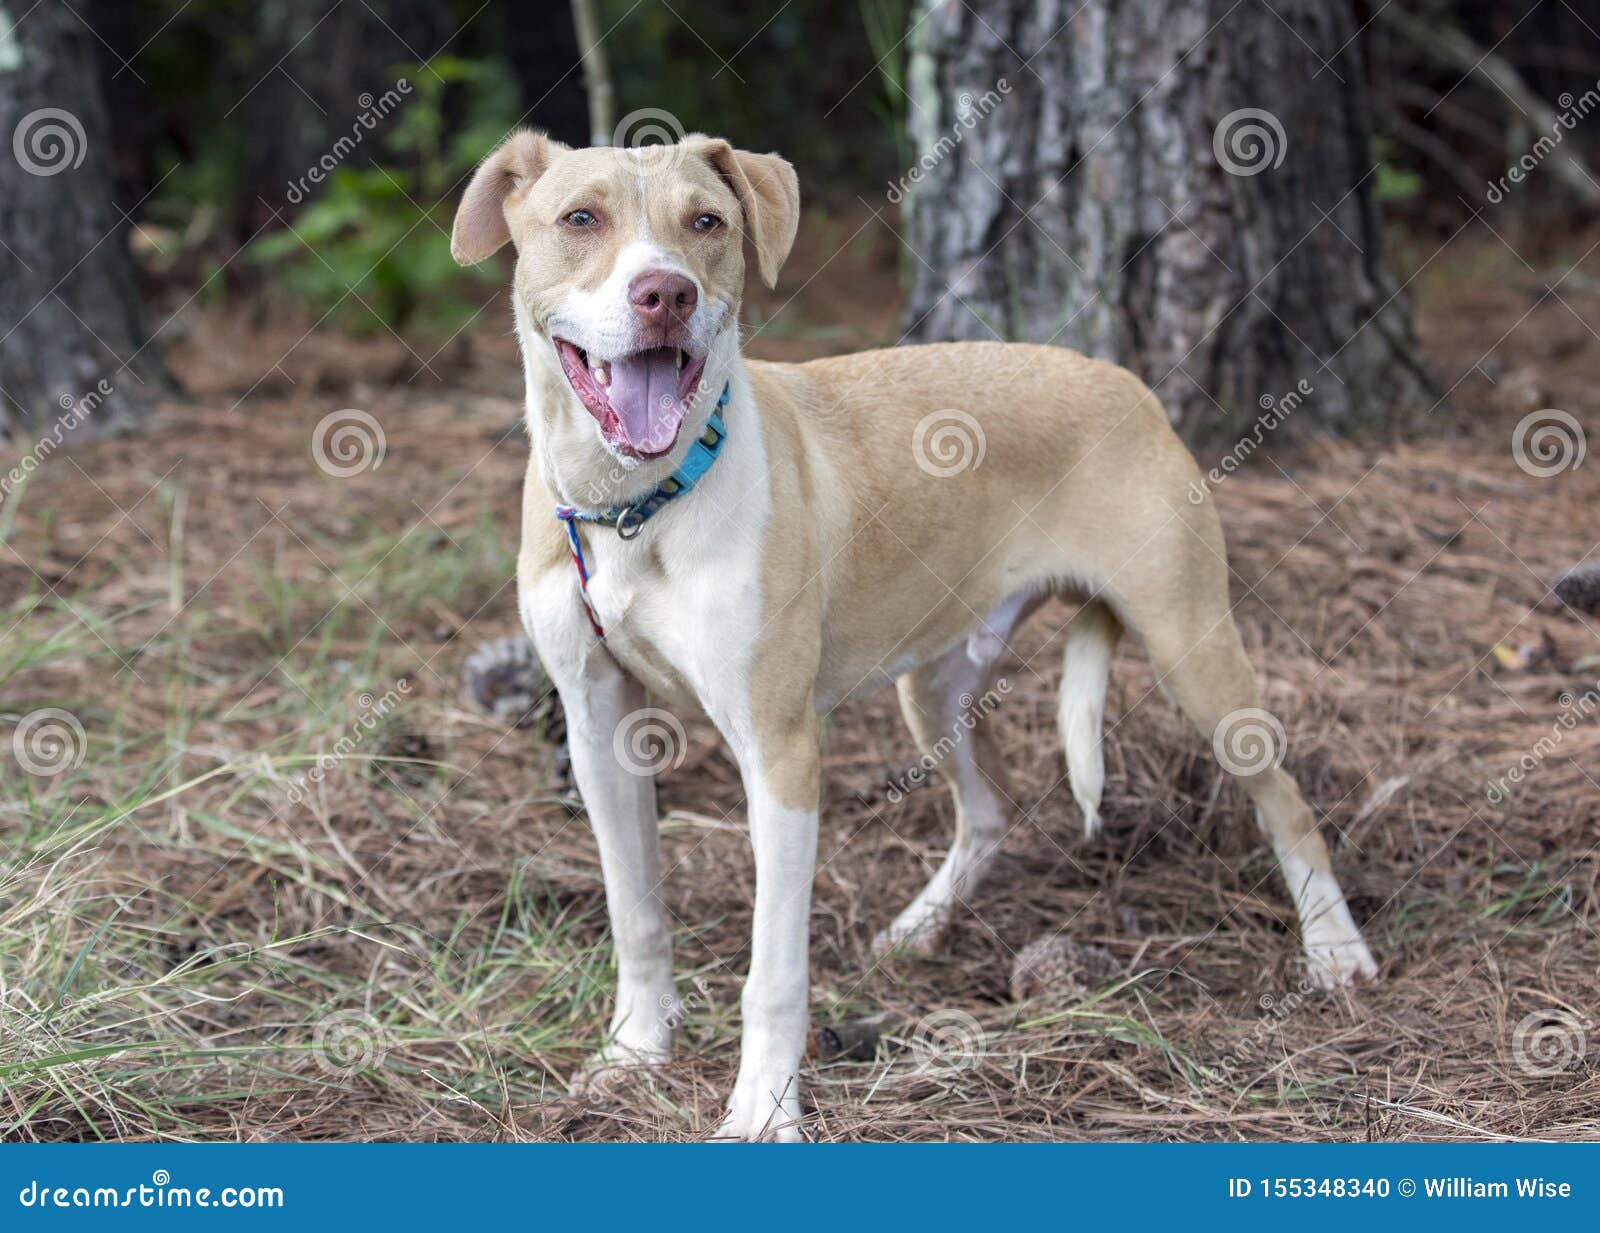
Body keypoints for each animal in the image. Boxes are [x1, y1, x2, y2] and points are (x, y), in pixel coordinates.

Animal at [448, 130, 1376, 1145]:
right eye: (581, 218)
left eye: (708, 223)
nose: (667, 295)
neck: (635, 507)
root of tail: (1125, 380)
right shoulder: (597, 729)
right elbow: (636, 914)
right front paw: (636, 1049)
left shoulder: (780, 753)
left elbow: (774, 971)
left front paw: (763, 1109)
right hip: (932, 685)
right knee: (992, 809)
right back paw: (920, 928)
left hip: (1190, 646)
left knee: (1285, 800)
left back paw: (1336, 953)